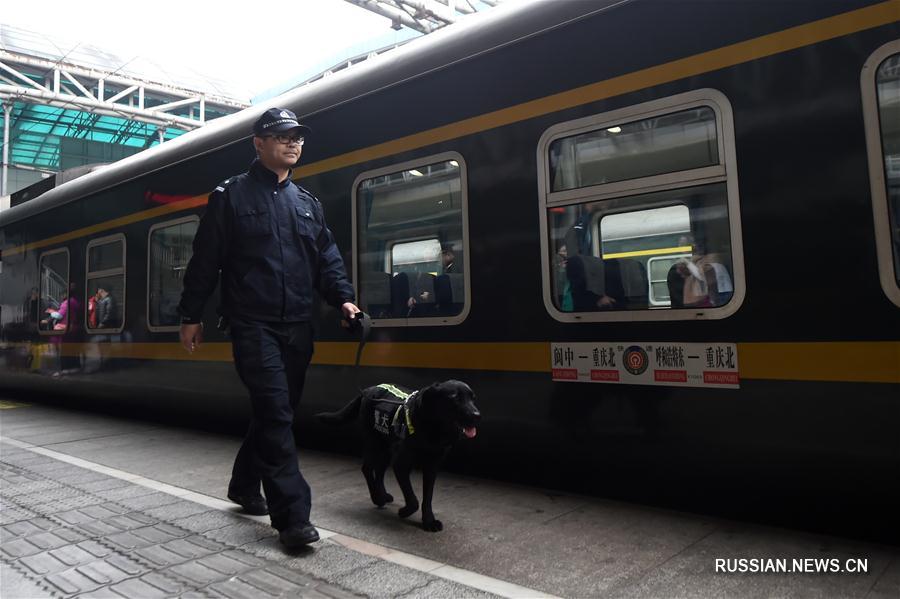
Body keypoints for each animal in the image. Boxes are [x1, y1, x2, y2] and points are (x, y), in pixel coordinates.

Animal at [320, 382, 482, 532]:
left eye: (473, 398)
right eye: (454, 397)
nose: (477, 415)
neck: (431, 428)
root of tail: (367, 390)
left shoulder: (431, 468)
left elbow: (427, 498)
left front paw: (428, 521)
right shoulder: (400, 464)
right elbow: (413, 499)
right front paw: (405, 512)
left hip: (386, 449)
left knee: (379, 472)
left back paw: (382, 495)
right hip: (374, 444)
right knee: (367, 468)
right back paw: (377, 497)